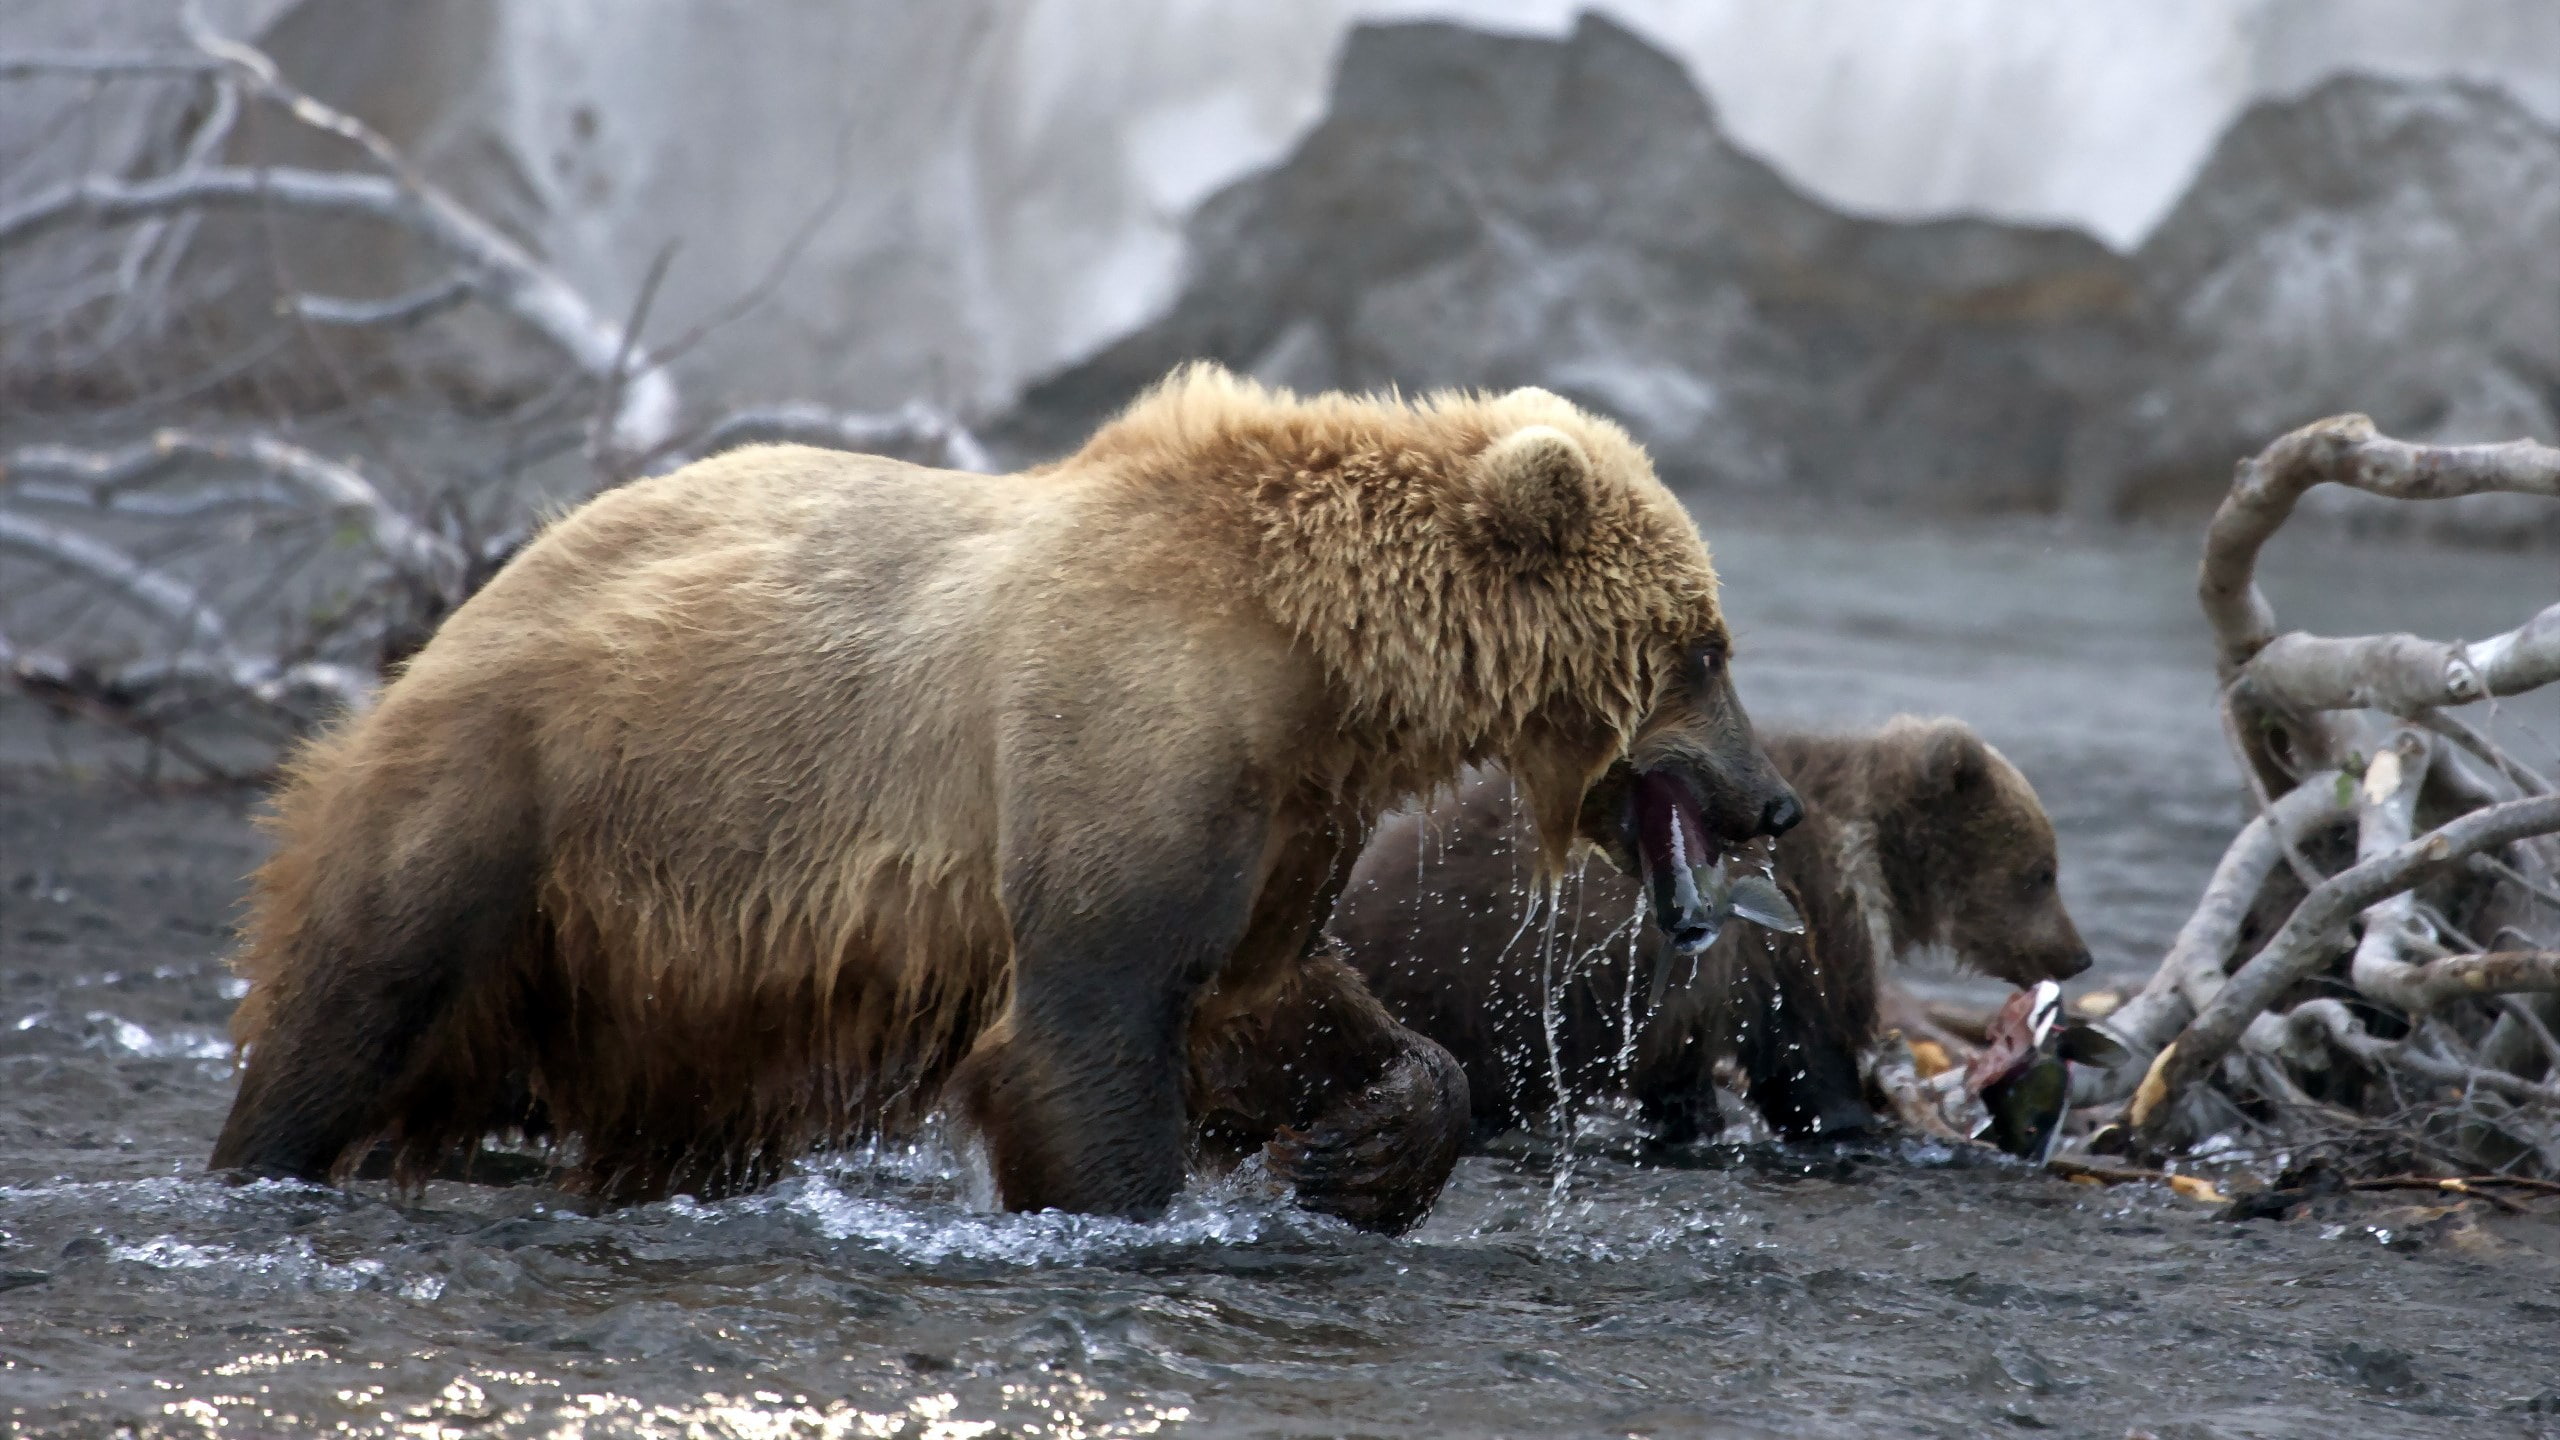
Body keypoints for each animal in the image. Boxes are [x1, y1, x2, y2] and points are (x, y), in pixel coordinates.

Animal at [207, 363, 1803, 1234]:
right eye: (1706, 645)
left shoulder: (1282, 808)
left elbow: (1263, 995)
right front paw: (1134, 1206)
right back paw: (265, 1161)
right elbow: (1091, 1021)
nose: (1775, 799)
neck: (1322, 664)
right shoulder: (1124, 726)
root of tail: (457, 618)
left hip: (666, 970)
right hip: (514, 801)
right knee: (357, 1001)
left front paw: (1376, 1141)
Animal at [1334, 716, 2090, 1146]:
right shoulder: (1806, 913)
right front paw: (1854, 1117)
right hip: (1480, 981)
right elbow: (1809, 1045)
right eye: (2041, 872)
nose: (2078, 955)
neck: (1875, 852)